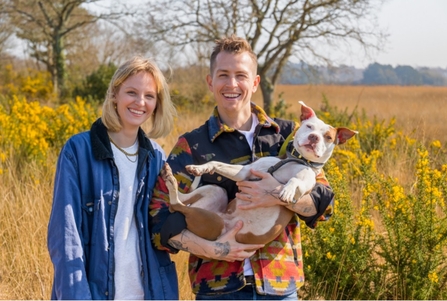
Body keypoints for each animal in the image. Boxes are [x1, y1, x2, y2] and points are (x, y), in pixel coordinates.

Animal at [163, 100, 358, 244]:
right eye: (309, 127)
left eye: (328, 137)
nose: (314, 137)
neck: (296, 159)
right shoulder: (245, 172)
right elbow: (215, 163)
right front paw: (200, 167)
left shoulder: (305, 186)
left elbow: (295, 181)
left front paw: (287, 191)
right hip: (214, 196)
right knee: (178, 202)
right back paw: (171, 177)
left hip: (211, 219)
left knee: (177, 204)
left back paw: (170, 180)